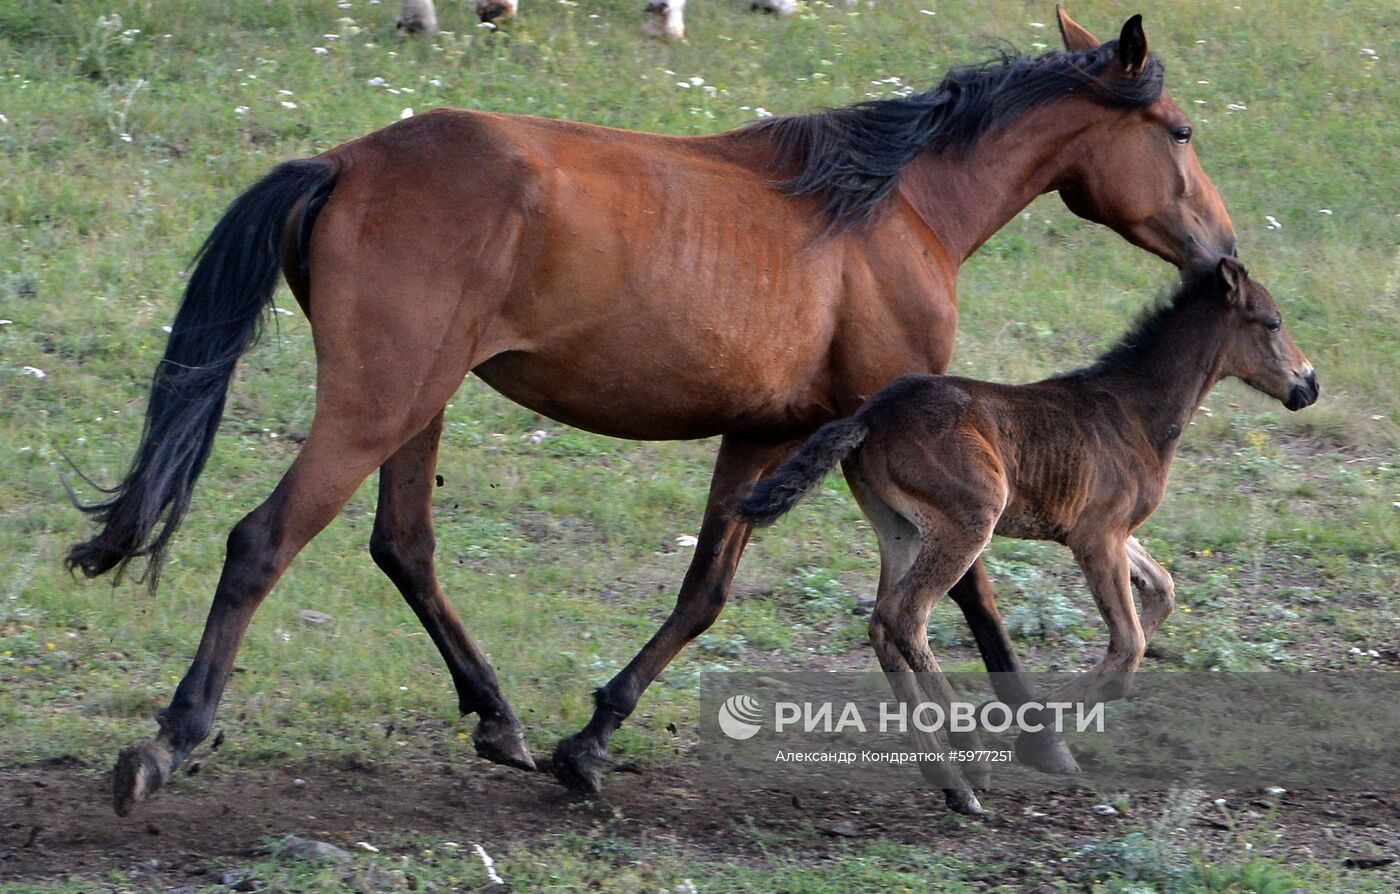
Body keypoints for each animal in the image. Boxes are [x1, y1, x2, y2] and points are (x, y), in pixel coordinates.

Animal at [71, 6, 1243, 817]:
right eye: (1181, 132)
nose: (1222, 253)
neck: (893, 210)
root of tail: (345, 162)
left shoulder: (766, 432)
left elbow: (702, 594)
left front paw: (588, 745)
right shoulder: (917, 429)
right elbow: (975, 596)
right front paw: (1038, 736)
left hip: (417, 407)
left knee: (403, 546)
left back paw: (499, 721)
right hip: (375, 404)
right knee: (262, 541)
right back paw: (169, 743)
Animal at [739, 257, 1316, 811]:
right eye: (1273, 322)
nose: (1308, 384)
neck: (1135, 412)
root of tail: (868, 418)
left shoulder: (1108, 532)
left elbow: (1164, 591)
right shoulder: (1096, 537)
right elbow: (1128, 648)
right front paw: (1037, 735)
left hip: (900, 529)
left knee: (883, 623)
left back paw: (945, 777)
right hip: (970, 519)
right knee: (906, 615)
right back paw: (968, 767)